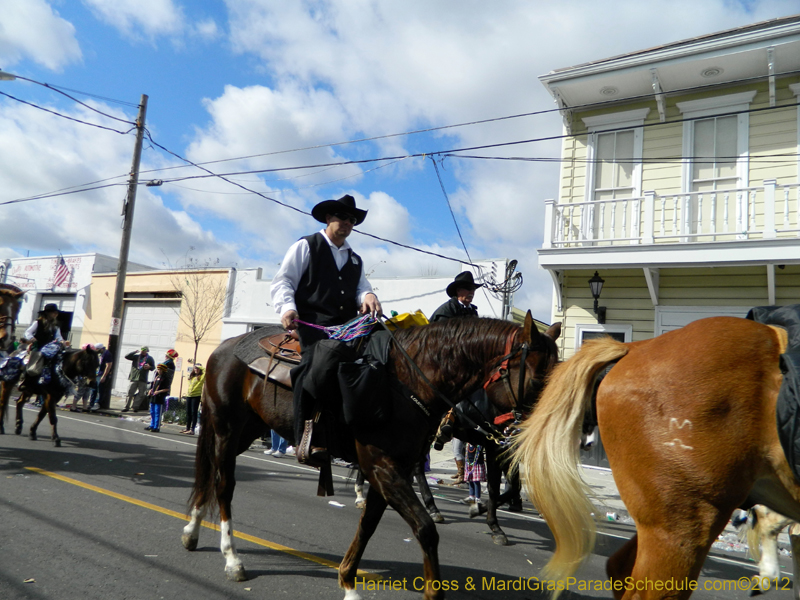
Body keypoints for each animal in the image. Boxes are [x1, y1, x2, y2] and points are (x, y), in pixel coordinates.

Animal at [181, 312, 560, 596]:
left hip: (245, 430)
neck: (407, 382)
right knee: (224, 484)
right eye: (538, 379)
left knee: (210, 473)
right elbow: (425, 530)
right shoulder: (383, 467)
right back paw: (231, 559)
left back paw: (192, 531)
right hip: (227, 428)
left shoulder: (393, 471)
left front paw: (348, 583)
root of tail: (223, 348)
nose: (540, 439)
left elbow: (368, 526)